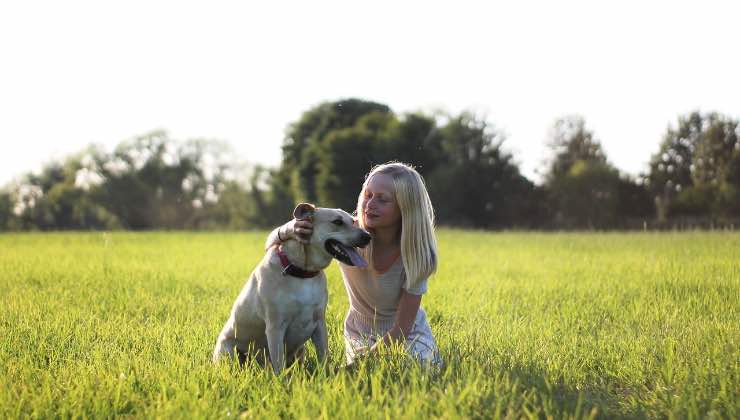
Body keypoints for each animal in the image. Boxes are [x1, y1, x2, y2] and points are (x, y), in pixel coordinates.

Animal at [214, 202, 370, 372]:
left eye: (353, 221)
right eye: (337, 222)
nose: (368, 236)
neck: (303, 272)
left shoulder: (319, 323)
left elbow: (324, 357)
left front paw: (326, 375)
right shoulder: (275, 327)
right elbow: (279, 366)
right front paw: (283, 379)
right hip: (229, 352)